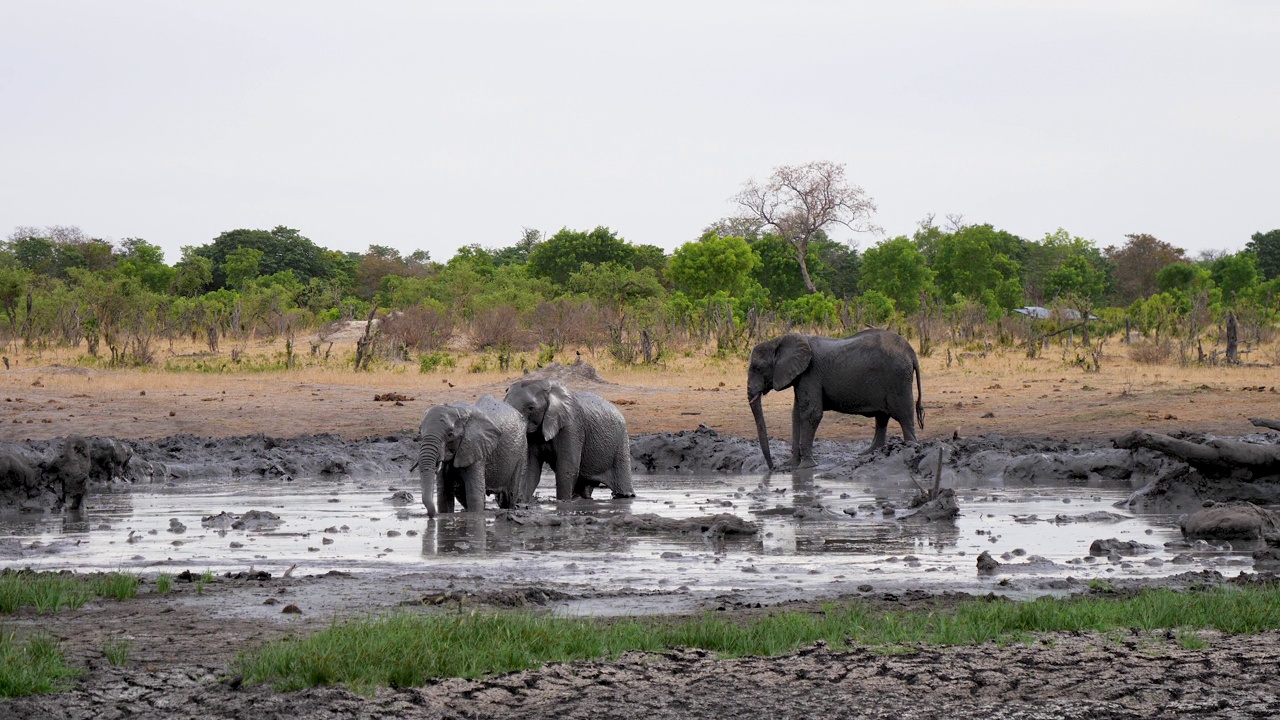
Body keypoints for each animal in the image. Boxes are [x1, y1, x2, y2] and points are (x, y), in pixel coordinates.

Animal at [504, 376, 634, 499]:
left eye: (531, 408)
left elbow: (566, 468)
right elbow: (531, 469)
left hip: (621, 441)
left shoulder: (572, 427)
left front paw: (563, 502)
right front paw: (522, 503)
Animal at [747, 327, 926, 468]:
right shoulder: (800, 377)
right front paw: (791, 465)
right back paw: (870, 453)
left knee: (904, 416)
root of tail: (910, 352)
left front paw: (806, 467)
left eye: (757, 368)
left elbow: (811, 413)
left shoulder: (810, 374)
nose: (772, 467)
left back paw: (909, 448)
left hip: (898, 379)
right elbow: (796, 414)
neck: (779, 340)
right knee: (882, 417)